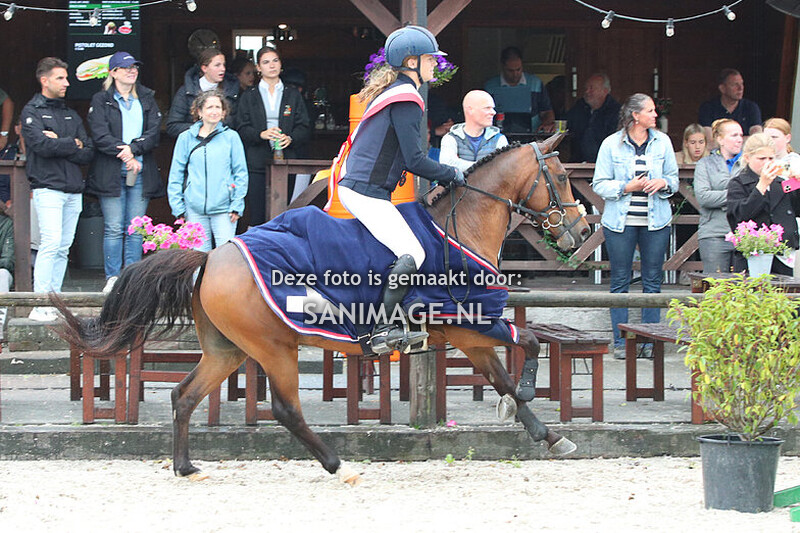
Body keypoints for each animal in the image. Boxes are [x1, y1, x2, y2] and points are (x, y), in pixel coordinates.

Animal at [53, 133, 591, 485]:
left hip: (228, 349)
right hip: (273, 347)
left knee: (184, 396)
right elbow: (529, 342)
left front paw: (547, 434)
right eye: (563, 177)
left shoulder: (469, 334)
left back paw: (185, 467)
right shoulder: (467, 323)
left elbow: (503, 373)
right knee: (285, 409)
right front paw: (527, 400)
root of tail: (210, 257)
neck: (459, 228)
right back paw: (338, 464)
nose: (584, 232)